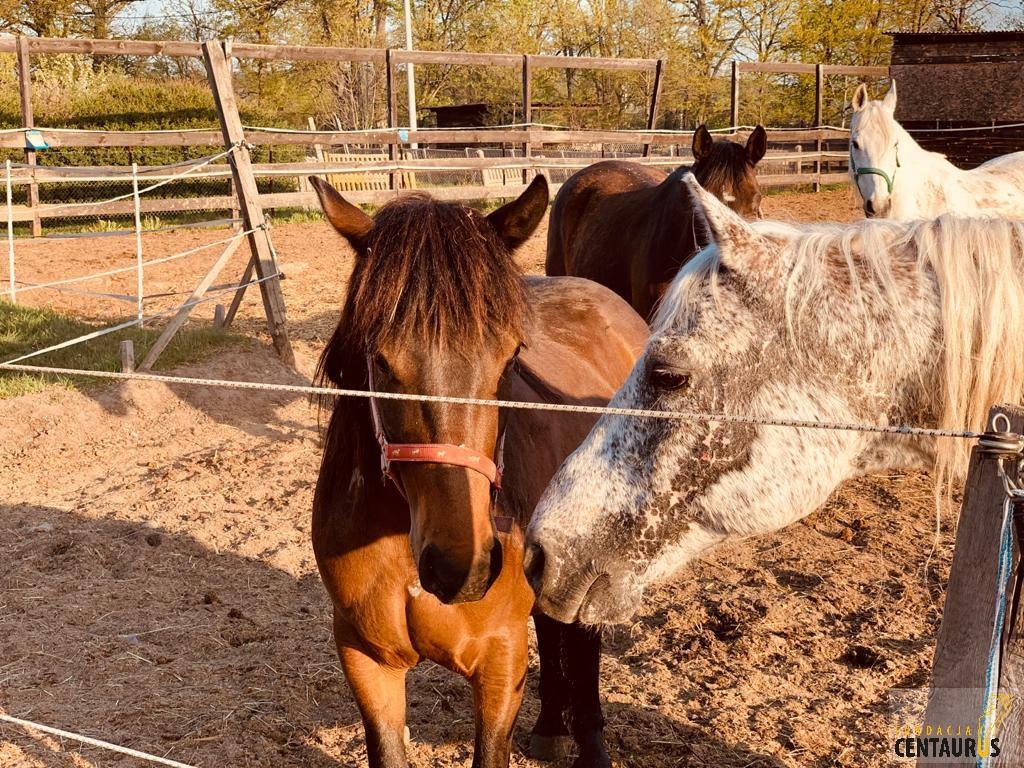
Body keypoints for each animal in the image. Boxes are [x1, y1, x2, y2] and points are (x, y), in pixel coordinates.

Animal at [309, 174, 649, 767]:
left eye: (511, 358)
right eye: (380, 361)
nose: (460, 568)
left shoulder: (498, 660)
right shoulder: (365, 659)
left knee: (582, 643)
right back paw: (551, 728)